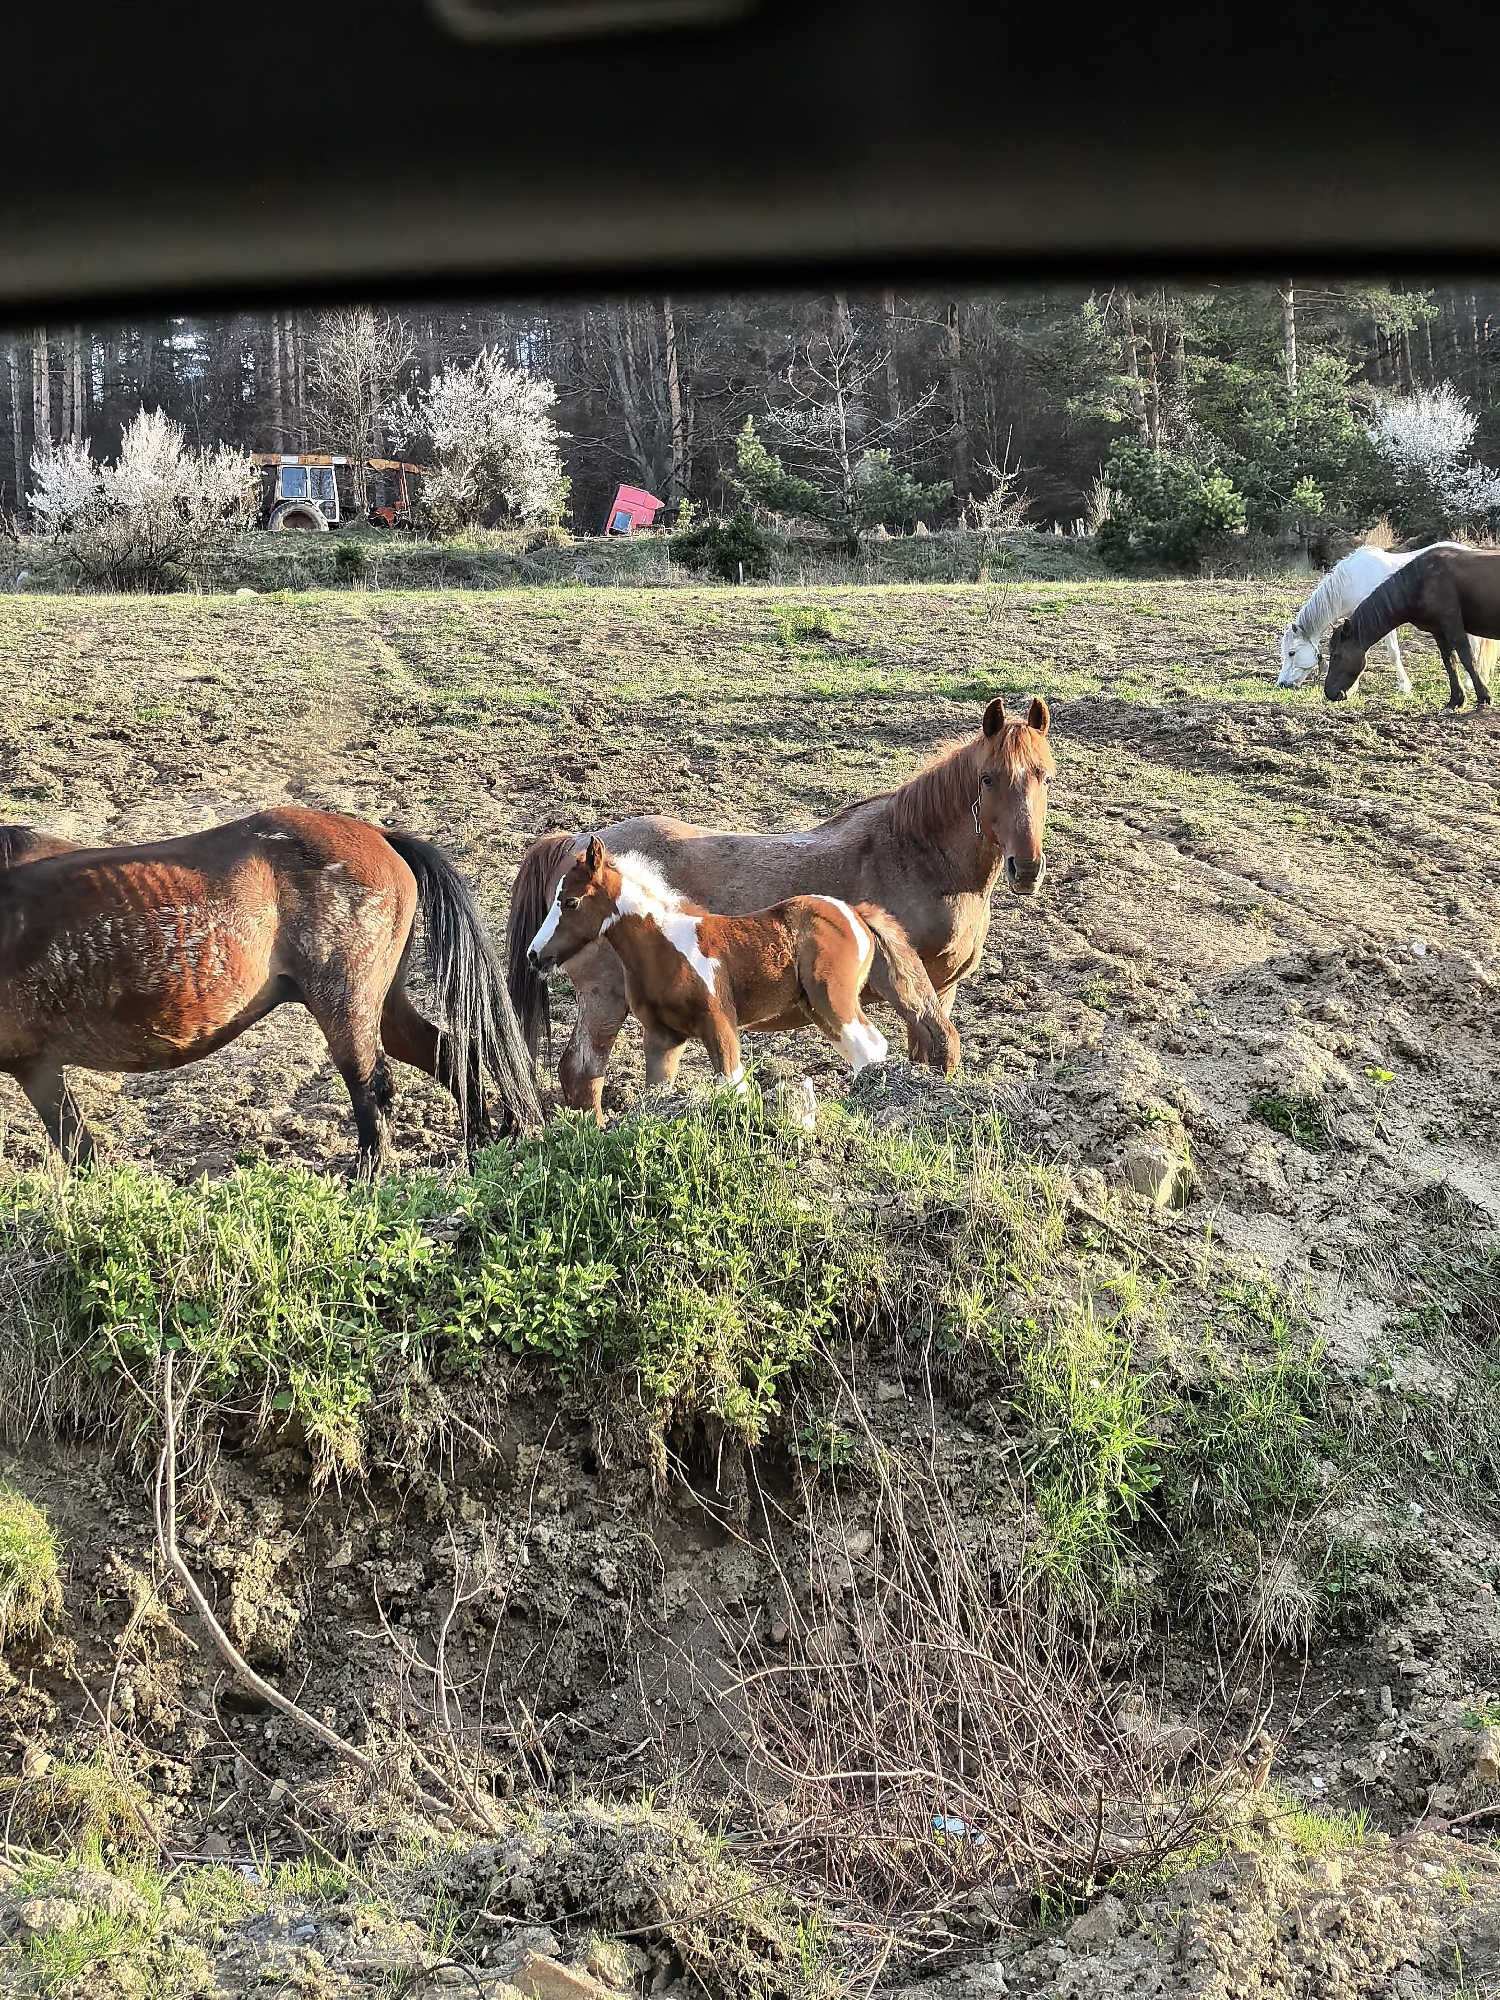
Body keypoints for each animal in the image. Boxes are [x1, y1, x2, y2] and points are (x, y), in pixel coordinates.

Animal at [0, 807, 541, 1171]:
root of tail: (378, 834)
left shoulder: (34, 1064)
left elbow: (73, 1143)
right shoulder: (37, 1065)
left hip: (346, 1006)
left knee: (373, 1090)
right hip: (382, 1005)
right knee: (452, 1053)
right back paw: (477, 1144)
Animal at [526, 836, 959, 1094]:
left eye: (570, 902)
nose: (535, 955)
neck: (665, 945)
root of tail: (854, 911)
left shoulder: (719, 1022)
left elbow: (733, 1084)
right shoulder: (662, 1037)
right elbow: (659, 1091)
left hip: (834, 1000)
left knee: (869, 1046)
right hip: (819, 1010)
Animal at [1275, 542, 1498, 692]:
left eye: (1292, 653)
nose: (1283, 684)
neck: (1352, 582)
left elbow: (1393, 654)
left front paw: (1404, 687)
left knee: (1475, 646)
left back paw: (1470, 683)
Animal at [1325, 546, 1500, 708]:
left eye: (1337, 655)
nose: (1329, 693)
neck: (1420, 582)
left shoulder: (1453, 626)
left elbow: (1468, 659)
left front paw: (1484, 697)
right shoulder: (1439, 631)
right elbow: (1450, 662)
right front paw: (1456, 700)